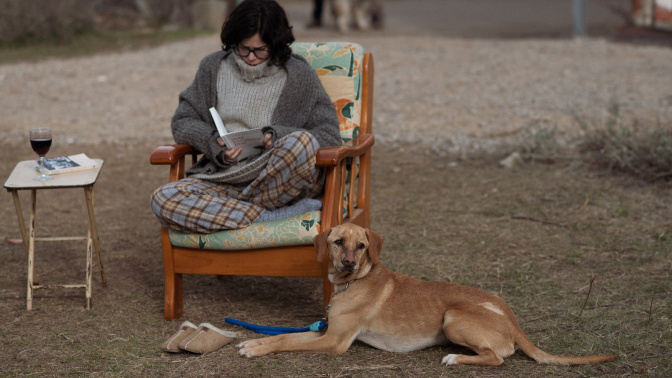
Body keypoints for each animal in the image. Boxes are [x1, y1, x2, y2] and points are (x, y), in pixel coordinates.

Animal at [238, 224, 620, 366]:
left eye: (361, 246)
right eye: (337, 242)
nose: (348, 262)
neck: (353, 281)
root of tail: (512, 319)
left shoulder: (334, 341)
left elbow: (286, 342)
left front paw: (258, 348)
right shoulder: (326, 331)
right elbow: (285, 336)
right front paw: (254, 342)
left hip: (453, 318)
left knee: (497, 357)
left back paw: (456, 359)